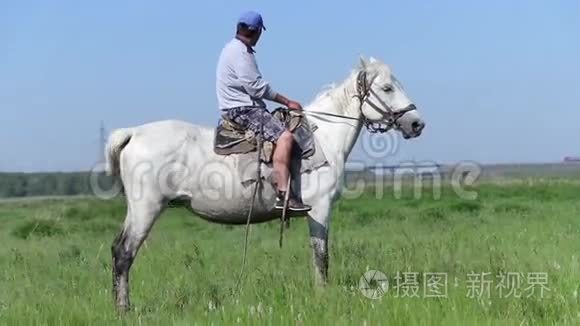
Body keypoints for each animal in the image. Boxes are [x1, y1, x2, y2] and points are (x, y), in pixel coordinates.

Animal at [105, 56, 426, 310]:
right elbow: (321, 255)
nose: (417, 124)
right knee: (123, 253)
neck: (323, 137)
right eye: (387, 88)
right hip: (146, 208)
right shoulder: (320, 209)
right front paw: (323, 295)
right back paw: (124, 309)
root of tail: (133, 133)